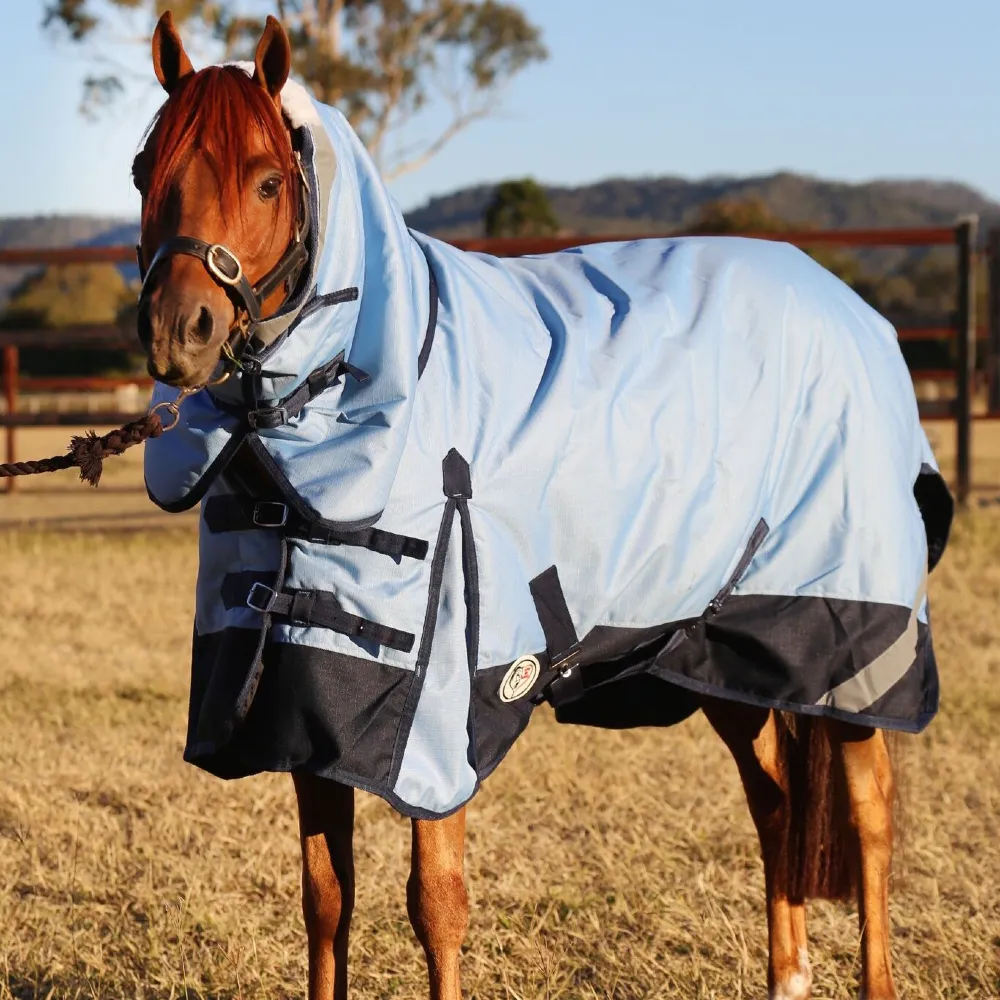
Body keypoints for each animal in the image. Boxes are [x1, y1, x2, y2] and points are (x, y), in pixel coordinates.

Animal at [134, 12, 952, 1000]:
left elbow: (436, 906)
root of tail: (854, 310)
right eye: (143, 170)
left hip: (844, 643)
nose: (178, 332)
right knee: (776, 802)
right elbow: (327, 901)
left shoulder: (438, 712)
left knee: (868, 818)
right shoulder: (301, 704)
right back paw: (786, 976)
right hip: (724, 652)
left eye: (264, 179)